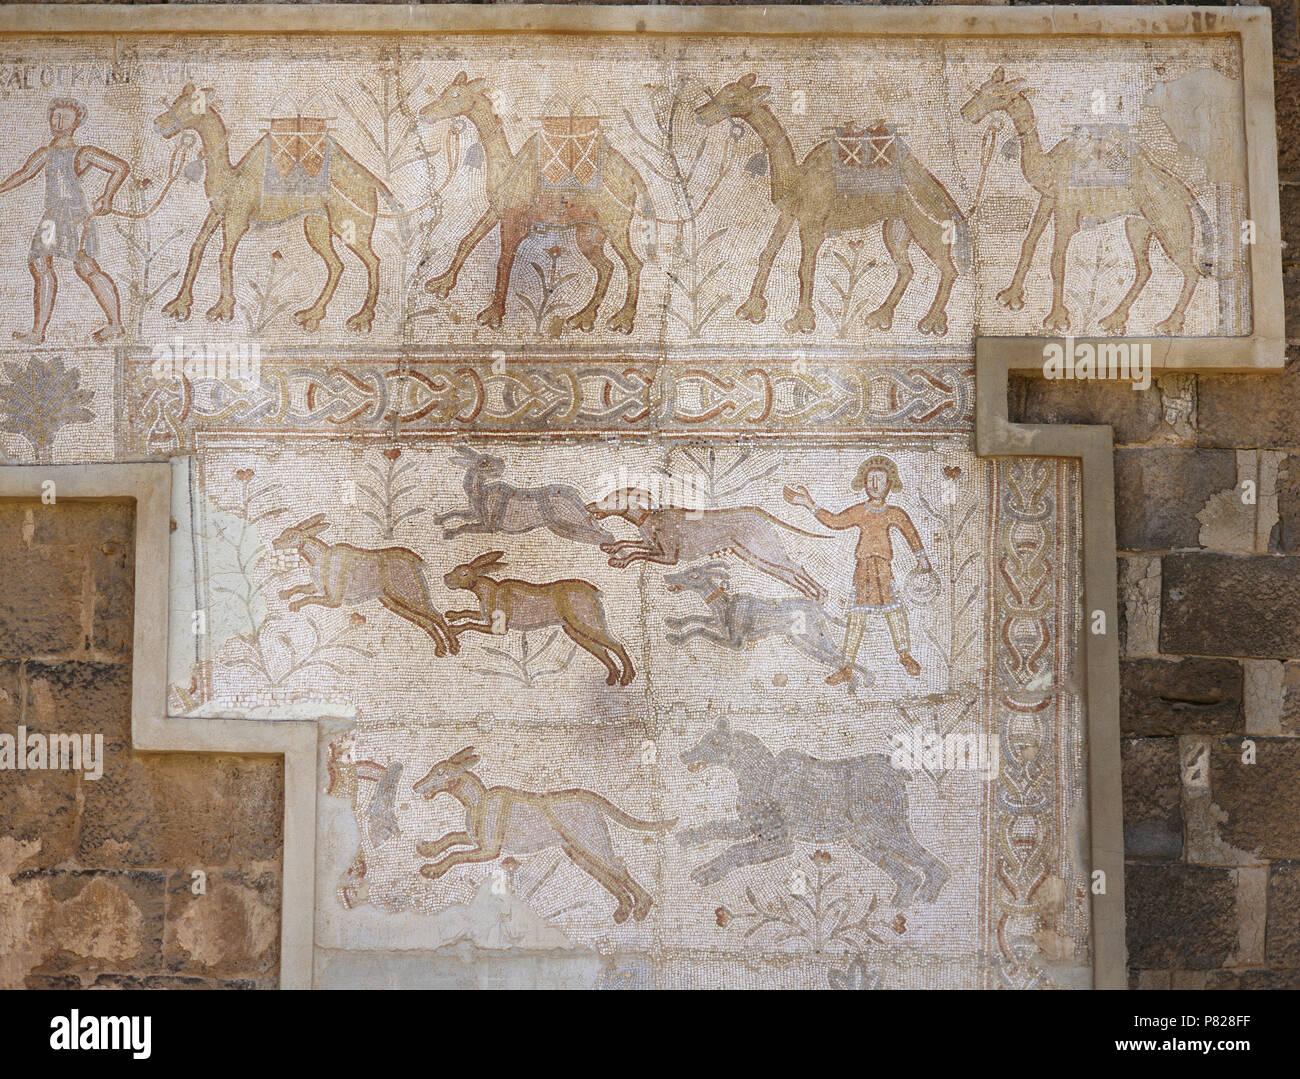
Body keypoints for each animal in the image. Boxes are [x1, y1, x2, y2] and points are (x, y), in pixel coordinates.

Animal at [153, 83, 390, 331]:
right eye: (176, 101)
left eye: (190, 106)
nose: (158, 123)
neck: (231, 178)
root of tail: (373, 182)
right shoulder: (217, 212)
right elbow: (196, 247)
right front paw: (179, 305)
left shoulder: (238, 218)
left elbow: (224, 254)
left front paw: (222, 310)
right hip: (316, 223)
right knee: (337, 264)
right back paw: (310, 315)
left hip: (350, 221)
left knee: (373, 260)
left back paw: (361, 319)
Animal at [421, 72, 655, 332]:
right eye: (445, 91)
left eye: (455, 95)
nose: (423, 112)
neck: (506, 169)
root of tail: (632, 176)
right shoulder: (497, 210)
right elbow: (467, 240)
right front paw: (439, 285)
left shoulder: (514, 221)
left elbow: (504, 261)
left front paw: (493, 315)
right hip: (589, 231)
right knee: (606, 266)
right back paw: (582, 318)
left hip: (615, 224)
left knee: (634, 263)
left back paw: (622, 321)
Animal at [702, 74, 967, 335]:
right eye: (724, 90)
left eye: (734, 99)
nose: (700, 112)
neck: (797, 177)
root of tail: (945, 200)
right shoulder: (789, 214)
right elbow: (767, 254)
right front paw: (751, 310)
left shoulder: (813, 225)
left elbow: (805, 268)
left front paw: (802, 322)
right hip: (897, 227)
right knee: (907, 269)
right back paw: (880, 318)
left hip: (928, 227)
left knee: (948, 269)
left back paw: (931, 323)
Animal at [961, 66, 1211, 332]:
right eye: (982, 88)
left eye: (998, 95)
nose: (965, 112)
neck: (1049, 166)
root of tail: (1189, 197)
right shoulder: (1048, 198)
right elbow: (1029, 242)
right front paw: (1010, 297)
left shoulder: (1067, 210)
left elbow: (1057, 259)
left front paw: (1056, 320)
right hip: (1138, 224)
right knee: (1145, 269)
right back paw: (1114, 320)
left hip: (1171, 225)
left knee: (1191, 271)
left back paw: (1169, 324)